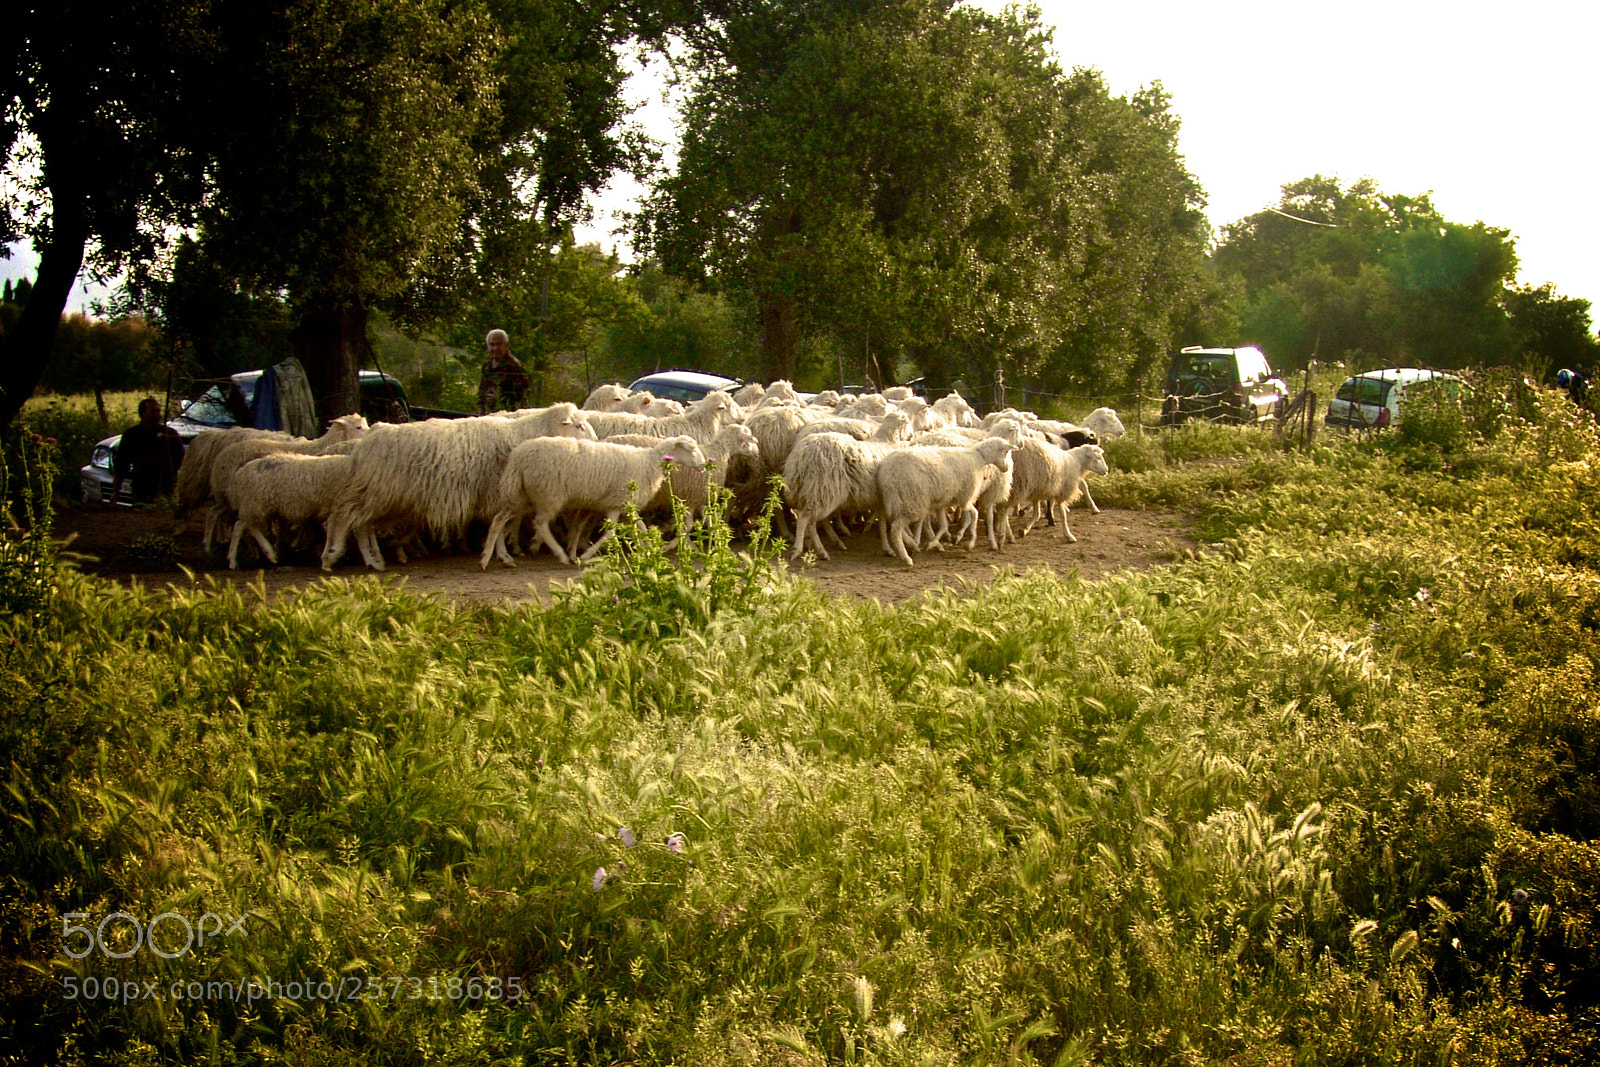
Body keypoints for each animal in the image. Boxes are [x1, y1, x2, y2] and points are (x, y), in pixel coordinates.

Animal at [321, 403, 598, 572]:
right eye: (578, 426)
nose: (598, 442)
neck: (522, 436)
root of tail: (363, 444)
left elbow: (499, 526)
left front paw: (500, 553)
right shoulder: (497, 493)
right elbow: (498, 526)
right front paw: (502, 555)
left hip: (378, 494)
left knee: (360, 524)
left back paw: (374, 560)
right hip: (375, 489)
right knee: (344, 518)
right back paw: (333, 556)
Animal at [480, 435, 707, 566]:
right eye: (692, 449)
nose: (704, 465)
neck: (649, 463)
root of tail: (518, 456)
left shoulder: (625, 505)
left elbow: (641, 528)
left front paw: (653, 550)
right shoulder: (617, 503)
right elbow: (610, 533)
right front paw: (586, 556)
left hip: (524, 495)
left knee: (499, 519)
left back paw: (490, 557)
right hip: (549, 494)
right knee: (540, 524)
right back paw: (560, 555)